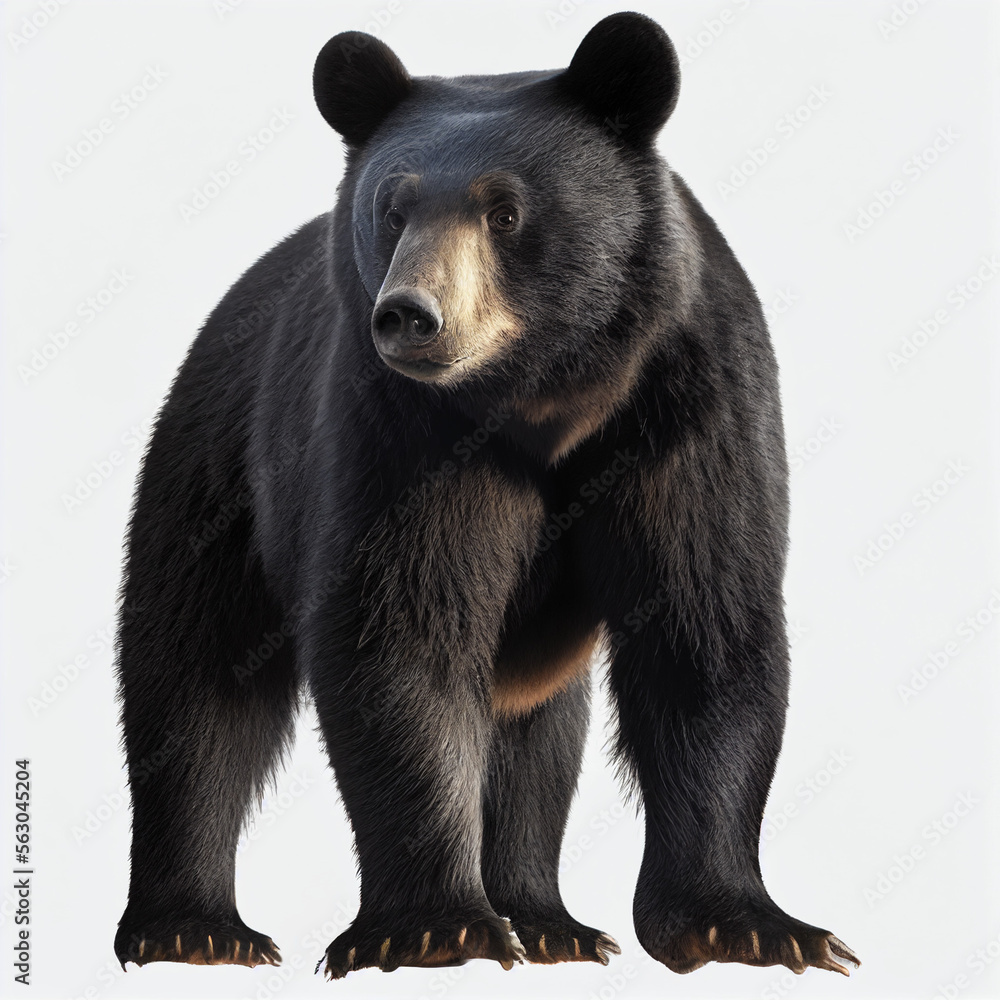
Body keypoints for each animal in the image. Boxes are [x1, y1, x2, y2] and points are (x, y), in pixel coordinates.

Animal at [112, 11, 860, 981]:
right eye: (393, 208)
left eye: (506, 210)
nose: (409, 315)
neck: (548, 398)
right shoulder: (396, 432)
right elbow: (401, 636)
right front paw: (435, 926)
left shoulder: (689, 405)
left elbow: (704, 626)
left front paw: (749, 926)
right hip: (219, 466)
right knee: (192, 677)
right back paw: (195, 928)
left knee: (539, 733)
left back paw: (547, 921)